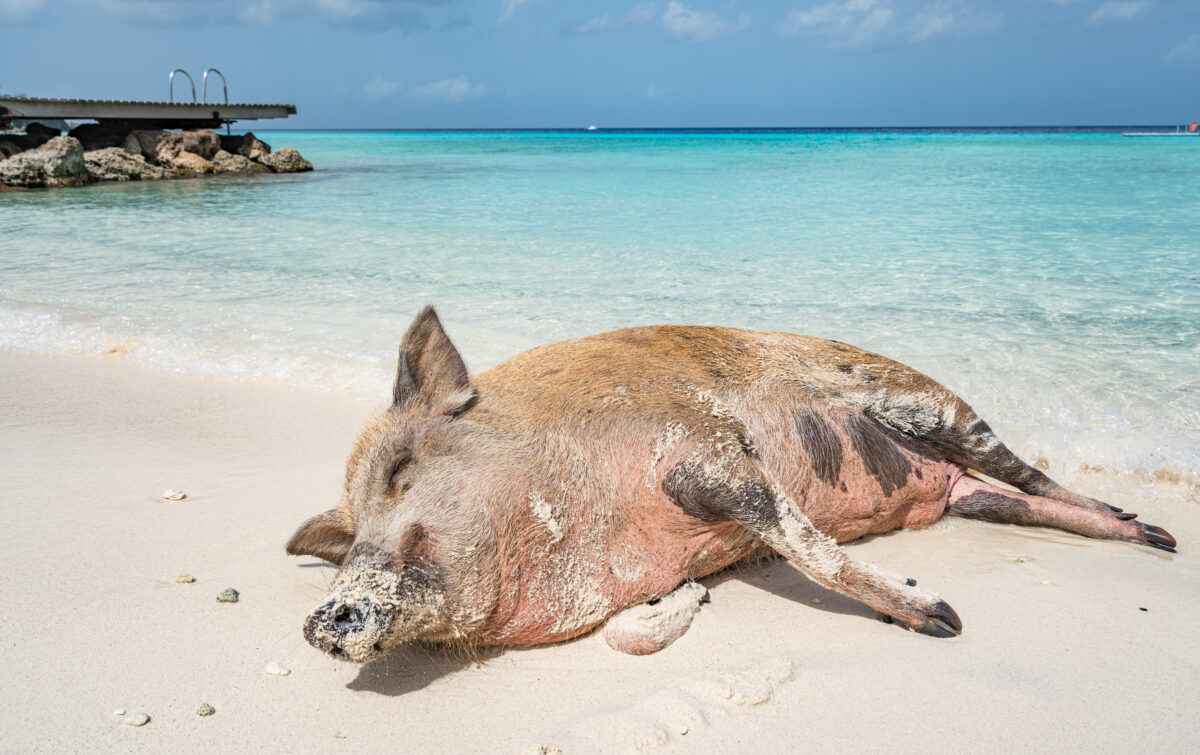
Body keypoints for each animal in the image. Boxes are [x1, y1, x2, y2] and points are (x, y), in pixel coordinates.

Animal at [287, 307, 1177, 662]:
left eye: (402, 470)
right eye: (350, 528)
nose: (321, 617)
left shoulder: (708, 453)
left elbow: (811, 547)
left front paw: (944, 621)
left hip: (934, 404)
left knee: (1037, 476)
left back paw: (1157, 536)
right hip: (962, 481)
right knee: (1002, 497)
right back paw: (1150, 533)